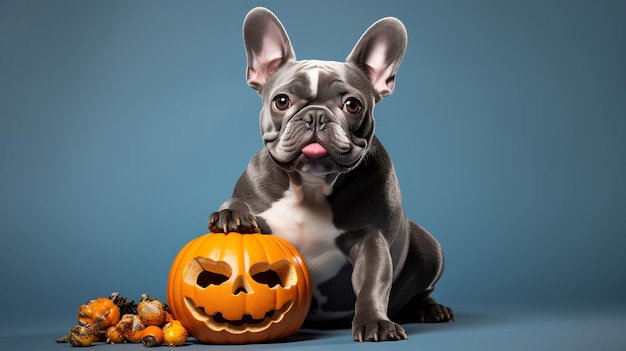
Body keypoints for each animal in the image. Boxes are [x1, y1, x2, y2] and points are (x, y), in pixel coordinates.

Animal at [207, 6, 450, 342]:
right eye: (281, 101)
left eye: (352, 105)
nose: (316, 115)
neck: (310, 185)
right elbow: (237, 204)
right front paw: (231, 215)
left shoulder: (371, 240)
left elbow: (373, 283)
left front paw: (375, 321)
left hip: (430, 247)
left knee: (420, 291)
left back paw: (431, 309)